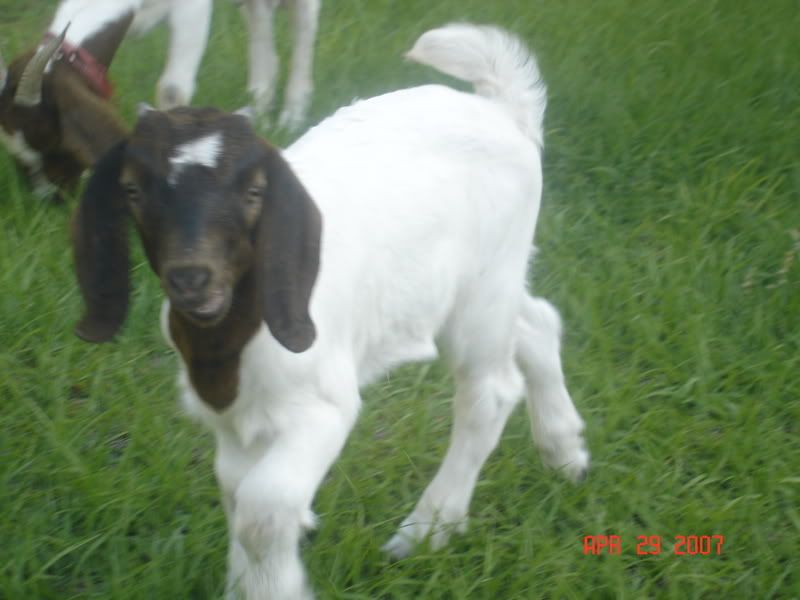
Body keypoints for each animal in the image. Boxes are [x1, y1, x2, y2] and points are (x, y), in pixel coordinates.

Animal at [0, 0, 319, 197]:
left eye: (53, 147)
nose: (50, 200)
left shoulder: (192, 8)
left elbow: (172, 89)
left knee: (304, 20)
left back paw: (291, 115)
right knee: (259, 20)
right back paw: (261, 105)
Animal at [72, 23, 590, 599]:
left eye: (254, 191)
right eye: (133, 190)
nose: (192, 276)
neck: (229, 341)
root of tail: (502, 108)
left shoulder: (321, 405)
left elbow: (263, 507)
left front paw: (275, 585)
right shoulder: (234, 420)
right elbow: (235, 489)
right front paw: (247, 581)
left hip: (483, 286)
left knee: (490, 392)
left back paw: (427, 530)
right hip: (485, 281)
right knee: (537, 322)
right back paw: (565, 452)